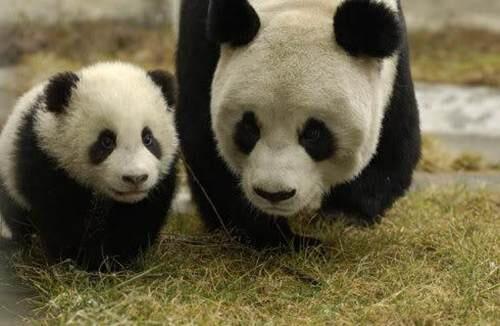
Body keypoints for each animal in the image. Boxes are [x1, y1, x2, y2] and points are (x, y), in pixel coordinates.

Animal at [0, 61, 179, 270]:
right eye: (106, 141)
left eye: (148, 138)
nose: (135, 178)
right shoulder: (47, 160)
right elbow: (61, 216)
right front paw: (80, 260)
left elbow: (137, 218)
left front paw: (118, 259)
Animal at [176, 0, 418, 247]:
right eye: (249, 127)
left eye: (314, 134)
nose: (274, 194)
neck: (304, 6)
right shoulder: (200, 40)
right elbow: (204, 143)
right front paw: (277, 236)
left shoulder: (392, 71)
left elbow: (393, 144)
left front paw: (341, 216)